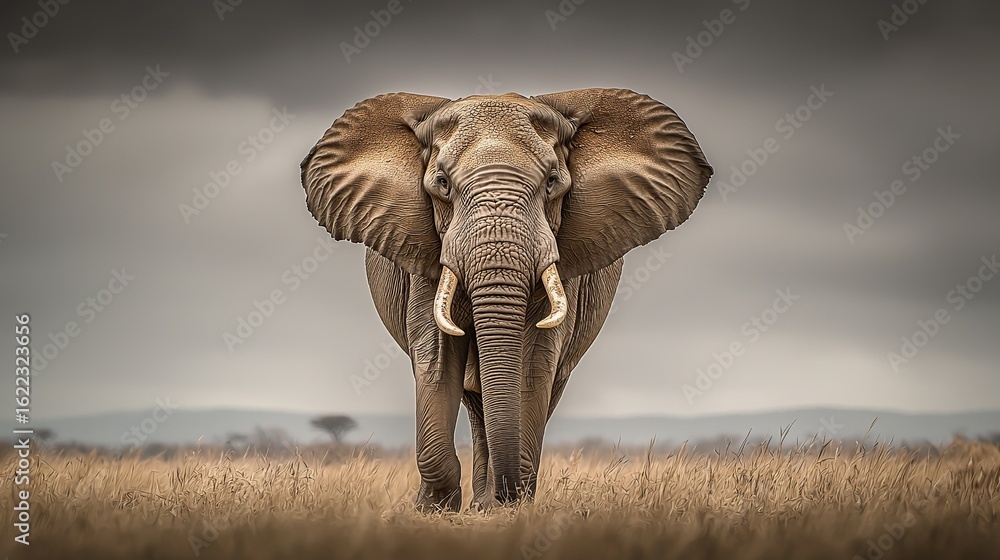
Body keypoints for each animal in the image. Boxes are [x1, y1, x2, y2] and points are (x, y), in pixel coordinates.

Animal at [299, 89, 712, 510]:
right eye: (442, 183)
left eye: (552, 183)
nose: (508, 493)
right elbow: (436, 354)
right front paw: (432, 510)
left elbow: (534, 358)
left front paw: (506, 508)